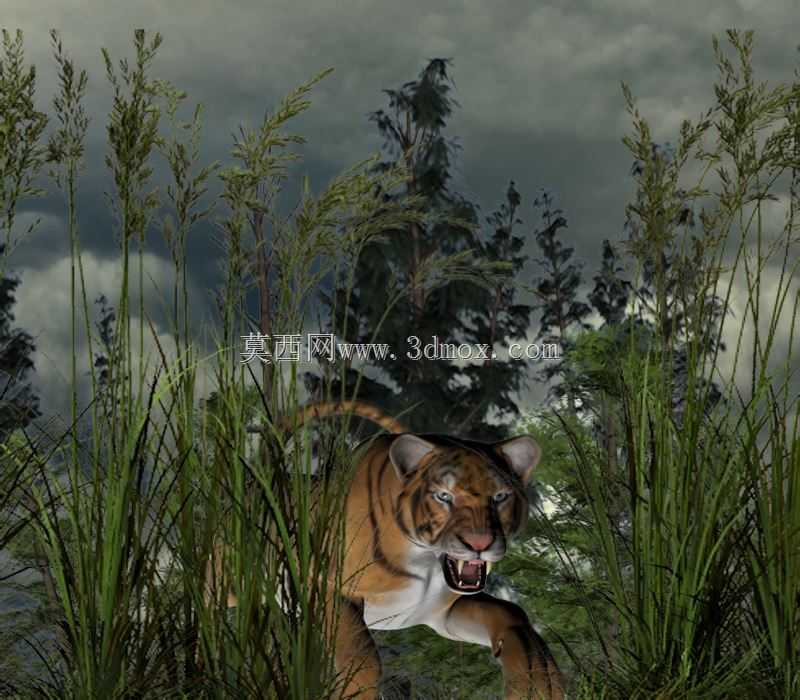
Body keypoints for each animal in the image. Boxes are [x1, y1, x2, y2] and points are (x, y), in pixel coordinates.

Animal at [207, 400, 565, 700]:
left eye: (500, 497)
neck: (427, 564)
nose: (480, 543)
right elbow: (361, 656)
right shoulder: (330, 588)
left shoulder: (443, 610)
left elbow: (511, 612)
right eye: (444, 496)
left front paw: (538, 683)